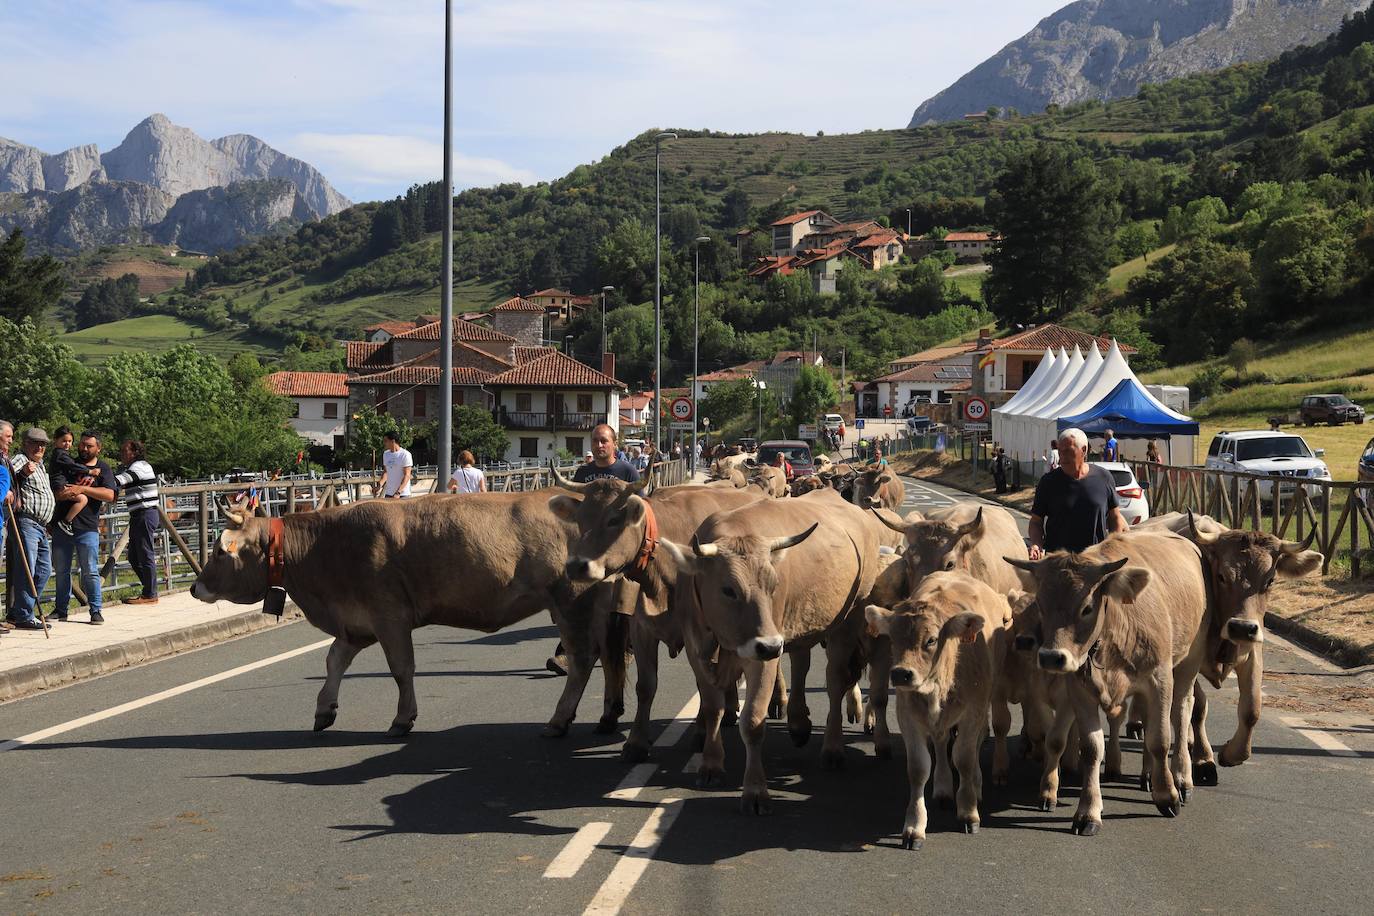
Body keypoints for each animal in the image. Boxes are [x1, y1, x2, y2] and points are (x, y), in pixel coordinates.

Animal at [189, 494, 612, 736]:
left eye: (220, 551)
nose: (195, 588)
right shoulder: (355, 622)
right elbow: (333, 661)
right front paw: (324, 709)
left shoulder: (388, 615)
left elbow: (400, 668)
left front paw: (402, 718)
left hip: (569, 601)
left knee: (582, 660)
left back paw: (560, 718)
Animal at [659, 491, 884, 813]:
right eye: (728, 589)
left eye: (773, 585)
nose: (772, 644)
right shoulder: (696, 650)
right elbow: (712, 708)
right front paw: (711, 764)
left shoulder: (760, 656)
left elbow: (753, 721)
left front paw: (755, 790)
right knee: (801, 662)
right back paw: (799, 723)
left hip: (847, 620)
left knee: (836, 682)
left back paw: (832, 747)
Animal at [862, 574, 1016, 851]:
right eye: (893, 639)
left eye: (931, 640)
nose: (901, 673)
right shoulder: (908, 715)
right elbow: (918, 768)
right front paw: (914, 826)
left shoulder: (973, 712)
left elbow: (964, 758)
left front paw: (968, 812)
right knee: (942, 742)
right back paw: (944, 789)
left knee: (974, 743)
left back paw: (975, 785)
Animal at [1005, 530, 1209, 840]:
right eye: (1040, 605)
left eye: (1087, 607)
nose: (1051, 657)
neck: (1115, 629)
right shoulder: (1080, 690)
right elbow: (1091, 749)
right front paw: (1088, 812)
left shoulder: (1160, 680)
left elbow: (1160, 739)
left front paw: (1167, 795)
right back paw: (1146, 775)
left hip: (1189, 662)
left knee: (1181, 713)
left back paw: (1183, 778)